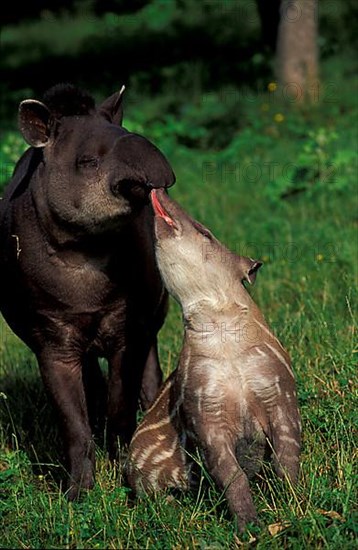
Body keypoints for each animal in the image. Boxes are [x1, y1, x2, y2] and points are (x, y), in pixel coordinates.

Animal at [127, 189, 300, 532]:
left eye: (206, 232)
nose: (158, 191)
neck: (224, 337)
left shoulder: (277, 388)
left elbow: (287, 458)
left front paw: (295, 504)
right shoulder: (203, 405)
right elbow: (231, 476)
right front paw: (249, 527)